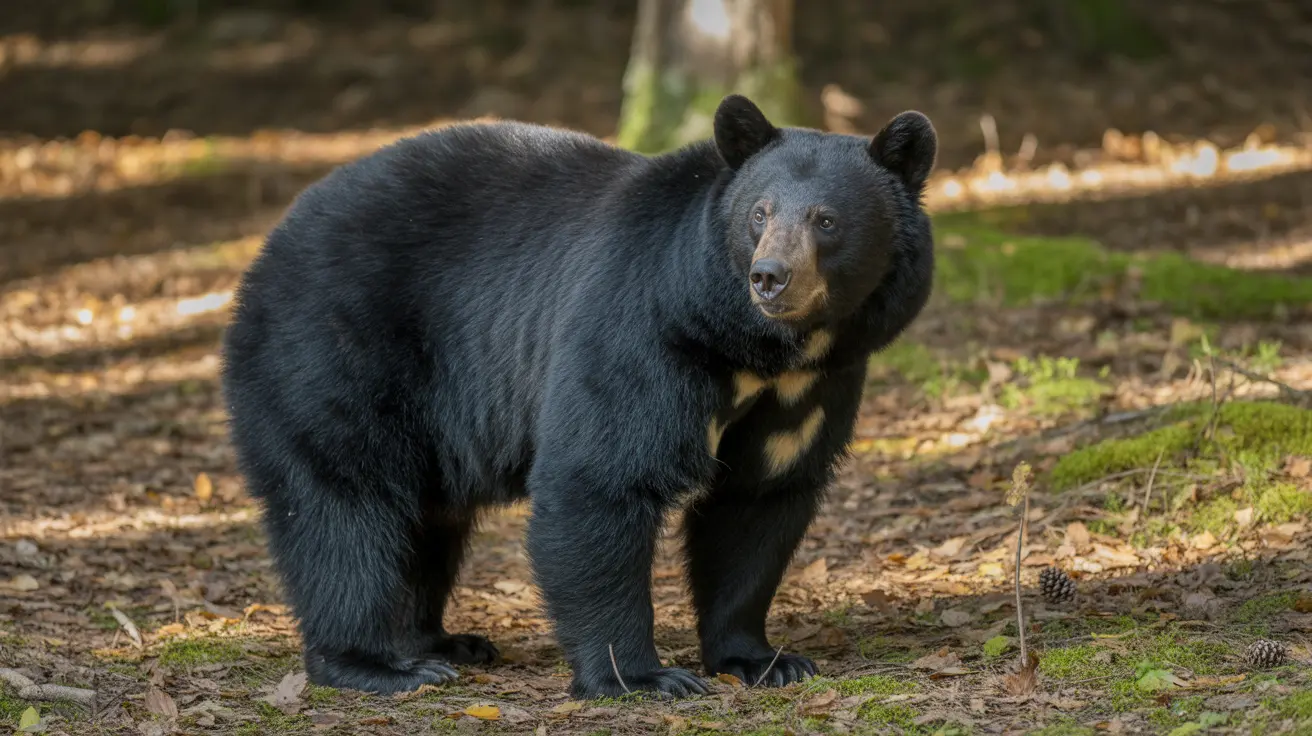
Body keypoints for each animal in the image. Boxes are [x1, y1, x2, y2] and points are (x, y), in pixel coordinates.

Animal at [220, 93, 937, 699]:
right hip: (334, 353)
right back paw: (377, 663)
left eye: (826, 220)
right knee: (343, 504)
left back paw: (444, 642)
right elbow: (600, 479)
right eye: (759, 213)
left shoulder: (816, 384)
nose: (770, 277)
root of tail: (265, 253)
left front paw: (763, 658)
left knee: (427, 519)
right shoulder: (642, 330)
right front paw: (643, 677)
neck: (753, 349)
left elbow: (759, 500)